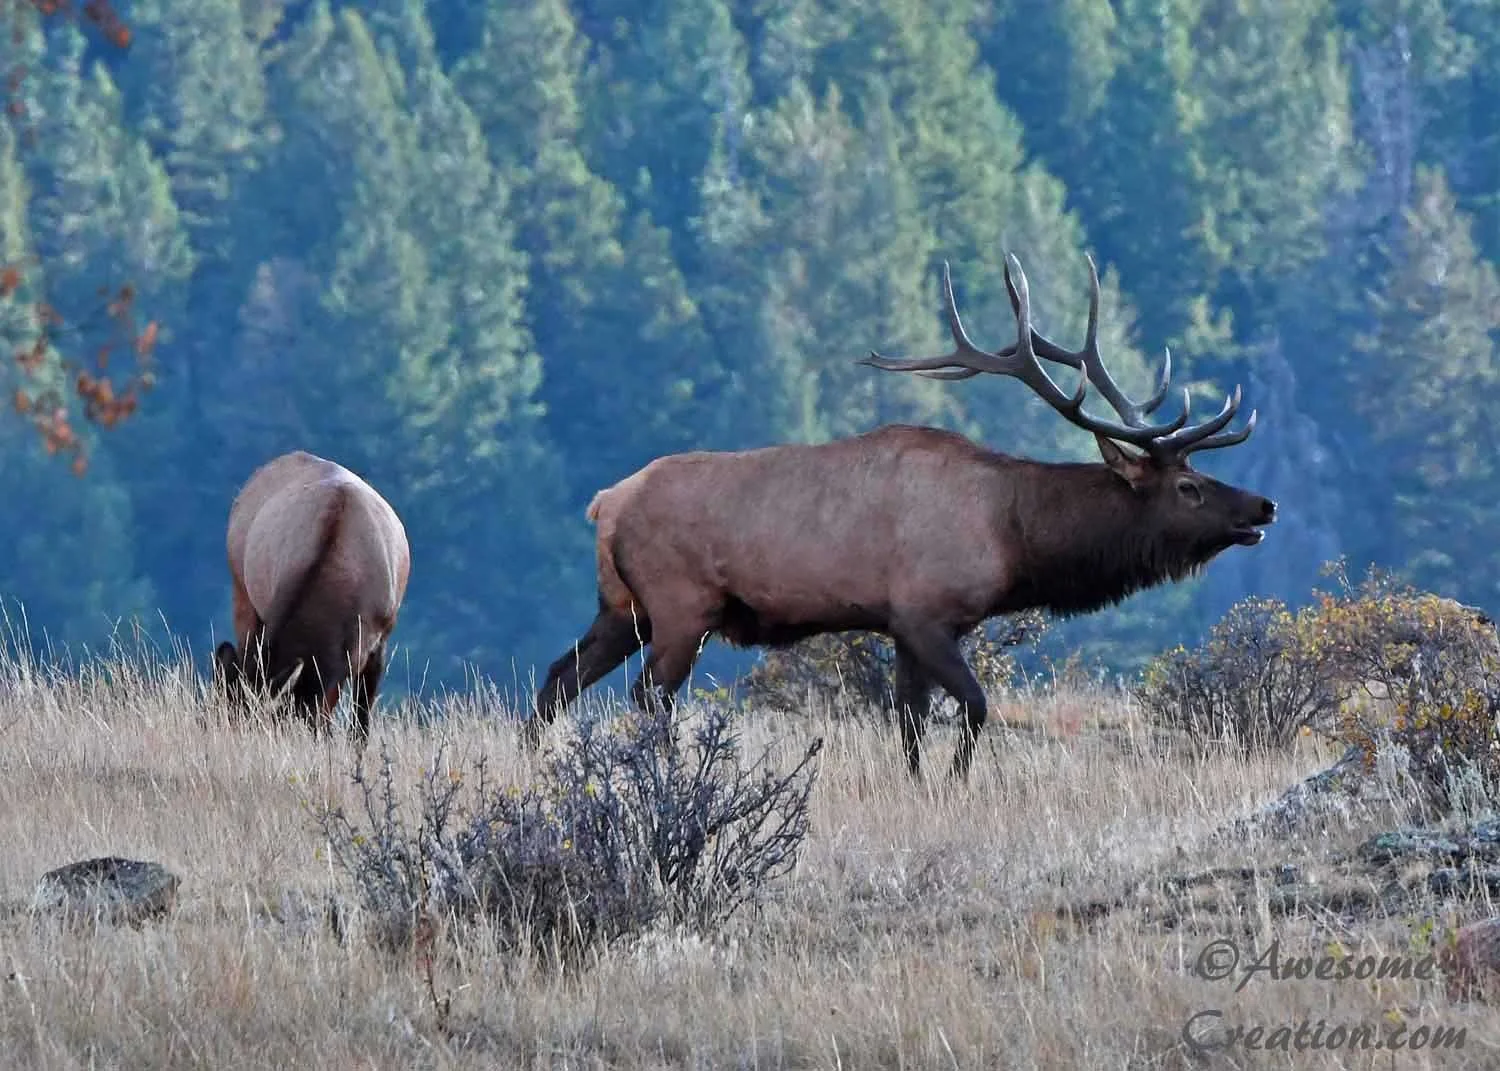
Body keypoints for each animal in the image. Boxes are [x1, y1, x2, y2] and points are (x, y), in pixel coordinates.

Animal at [531, 253, 1277, 781]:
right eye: (1187, 486)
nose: (1263, 504)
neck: (1013, 534)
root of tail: (606, 502)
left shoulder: (899, 626)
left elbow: (910, 721)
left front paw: (919, 783)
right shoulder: (925, 612)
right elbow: (973, 706)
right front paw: (954, 782)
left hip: (622, 607)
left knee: (557, 679)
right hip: (682, 606)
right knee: (646, 697)